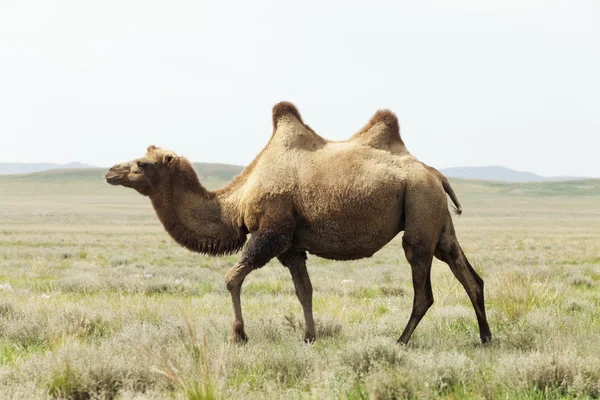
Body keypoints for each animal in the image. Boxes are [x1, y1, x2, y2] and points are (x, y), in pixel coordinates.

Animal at [105, 101, 490, 346]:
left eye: (142, 164)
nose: (110, 172)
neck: (236, 201)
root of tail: (435, 174)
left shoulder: (270, 232)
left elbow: (232, 278)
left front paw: (238, 336)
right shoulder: (291, 247)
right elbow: (304, 290)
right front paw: (309, 337)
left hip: (419, 212)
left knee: (423, 289)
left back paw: (401, 341)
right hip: (437, 218)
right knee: (469, 275)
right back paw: (486, 338)